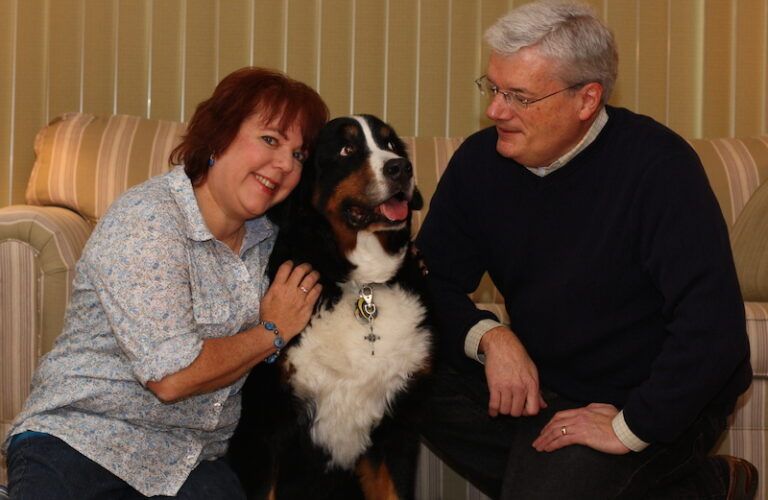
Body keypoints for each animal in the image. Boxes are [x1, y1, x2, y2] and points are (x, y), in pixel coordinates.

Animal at [228, 114, 432, 500]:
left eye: (391, 144)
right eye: (346, 149)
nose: (402, 167)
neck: (362, 285)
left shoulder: (397, 426)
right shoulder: (267, 424)